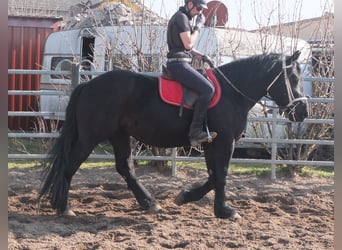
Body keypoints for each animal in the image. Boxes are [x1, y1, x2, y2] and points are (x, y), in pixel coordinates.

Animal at [38, 50, 308, 219]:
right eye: (293, 77)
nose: (304, 111)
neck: (232, 93)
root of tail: (87, 85)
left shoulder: (211, 143)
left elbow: (213, 176)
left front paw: (185, 196)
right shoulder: (224, 142)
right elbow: (221, 175)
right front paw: (225, 211)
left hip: (119, 135)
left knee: (125, 167)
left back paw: (149, 202)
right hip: (90, 138)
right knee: (70, 166)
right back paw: (63, 206)